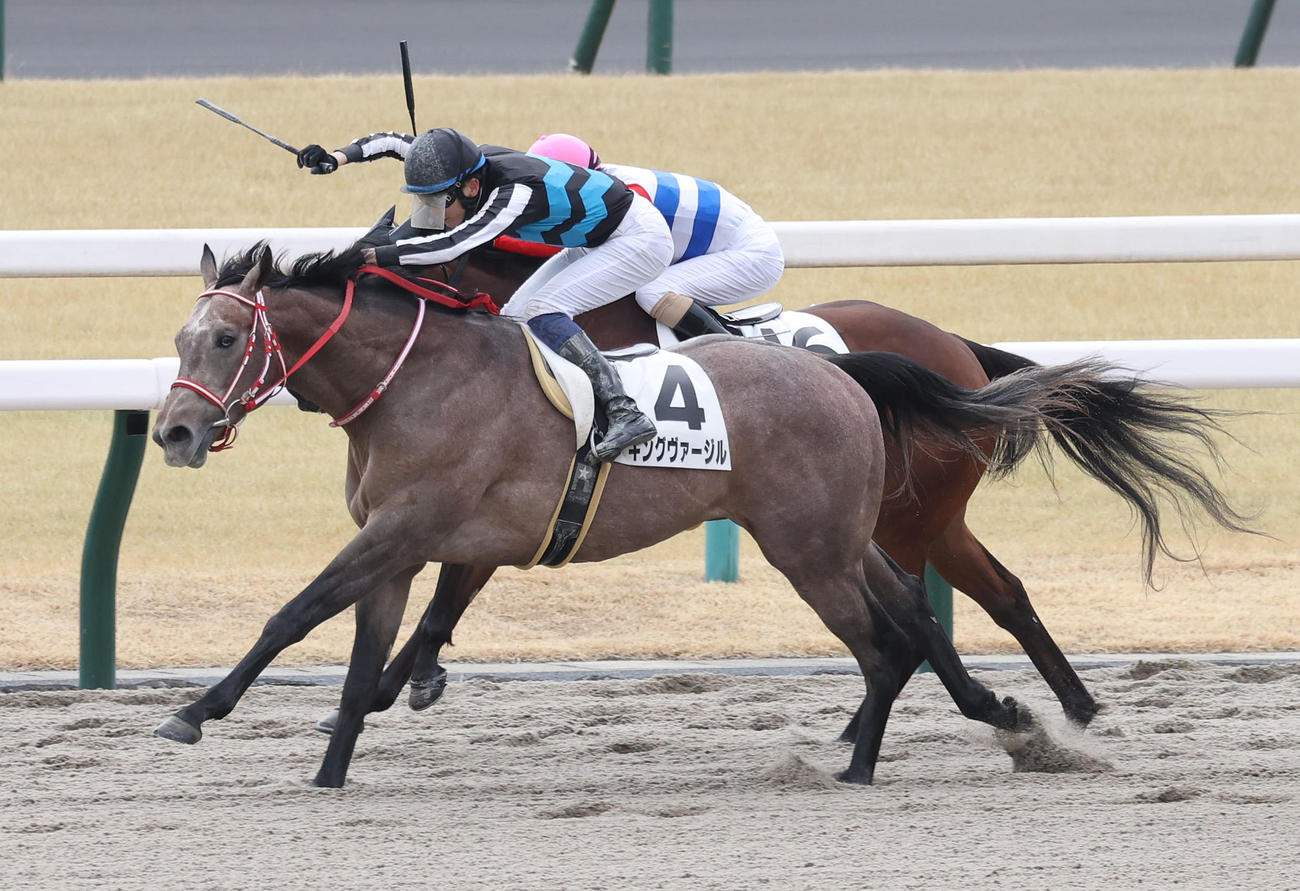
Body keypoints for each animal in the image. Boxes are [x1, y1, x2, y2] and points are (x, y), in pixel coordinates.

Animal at [150, 241, 1122, 788]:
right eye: (181, 340)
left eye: (229, 338)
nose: (174, 430)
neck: (416, 379)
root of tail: (843, 369)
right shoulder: (403, 544)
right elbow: (360, 660)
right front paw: (329, 770)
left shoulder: (412, 528)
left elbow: (296, 612)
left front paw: (196, 710)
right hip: (846, 537)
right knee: (917, 617)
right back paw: (1003, 715)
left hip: (821, 545)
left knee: (894, 638)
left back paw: (868, 762)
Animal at [331, 237, 1251, 733]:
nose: (353, 262)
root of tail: (955, 349)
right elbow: (446, 590)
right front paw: (392, 685)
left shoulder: (547, 489)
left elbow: (448, 593)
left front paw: (385, 687)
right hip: (902, 518)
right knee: (973, 599)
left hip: (912, 515)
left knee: (959, 603)